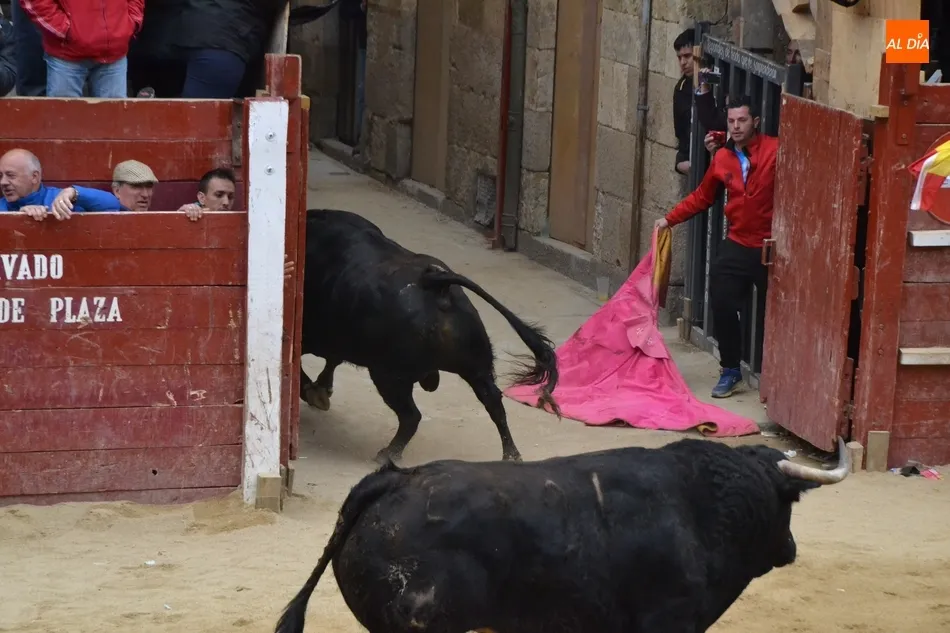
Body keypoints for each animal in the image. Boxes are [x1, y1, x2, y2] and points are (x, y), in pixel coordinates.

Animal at [298, 209, 559, 464]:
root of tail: (433, 282)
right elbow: (331, 360)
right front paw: (321, 390)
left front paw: (314, 392)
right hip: (476, 366)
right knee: (494, 402)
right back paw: (511, 456)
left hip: (389, 375)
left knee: (411, 415)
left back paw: (387, 454)